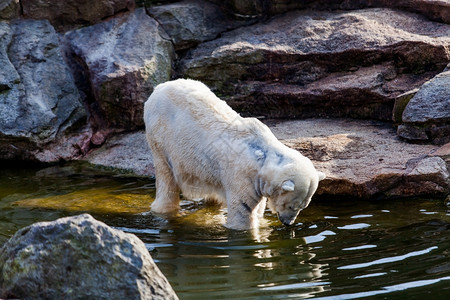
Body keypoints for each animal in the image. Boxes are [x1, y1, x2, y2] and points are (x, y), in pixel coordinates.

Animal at [144, 78, 324, 230]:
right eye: (291, 205)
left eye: (303, 206)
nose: (288, 223)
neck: (263, 160)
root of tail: (159, 88)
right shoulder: (242, 176)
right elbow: (243, 211)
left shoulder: (257, 182)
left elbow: (259, 207)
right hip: (161, 138)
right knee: (166, 176)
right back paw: (165, 209)